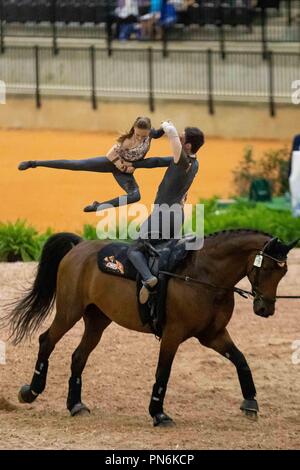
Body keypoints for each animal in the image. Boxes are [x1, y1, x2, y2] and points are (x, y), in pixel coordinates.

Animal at [2, 230, 298, 426]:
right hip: (68, 313)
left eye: (283, 272)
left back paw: (75, 405)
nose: (265, 309)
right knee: (46, 341)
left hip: (97, 320)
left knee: (78, 357)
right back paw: (31, 391)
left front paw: (251, 402)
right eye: (267, 268)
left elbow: (241, 360)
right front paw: (158, 413)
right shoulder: (173, 335)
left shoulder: (213, 335)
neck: (201, 276)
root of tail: (80, 246)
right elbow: (163, 372)